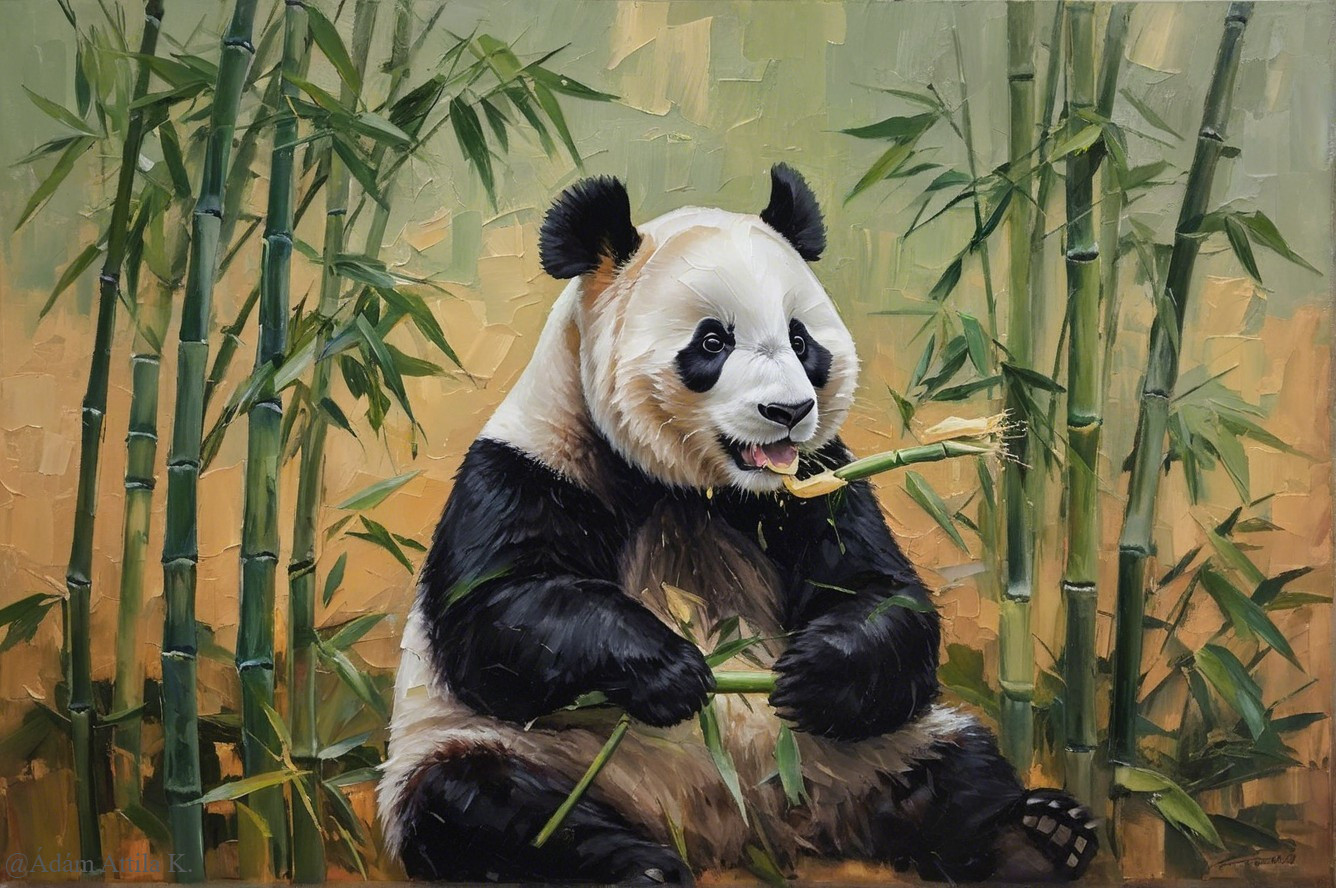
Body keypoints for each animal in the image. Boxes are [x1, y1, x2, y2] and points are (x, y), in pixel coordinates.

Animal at [376, 165, 1098, 884]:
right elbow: (499, 621)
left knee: (956, 768)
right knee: (485, 810)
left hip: (863, 751)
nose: (788, 411)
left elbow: (881, 596)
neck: (696, 490)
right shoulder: (523, 472)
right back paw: (638, 867)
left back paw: (1039, 837)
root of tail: (737, 825)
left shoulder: (821, 484)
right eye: (712, 341)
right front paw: (670, 669)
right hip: (517, 753)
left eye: (802, 340)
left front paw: (814, 671)